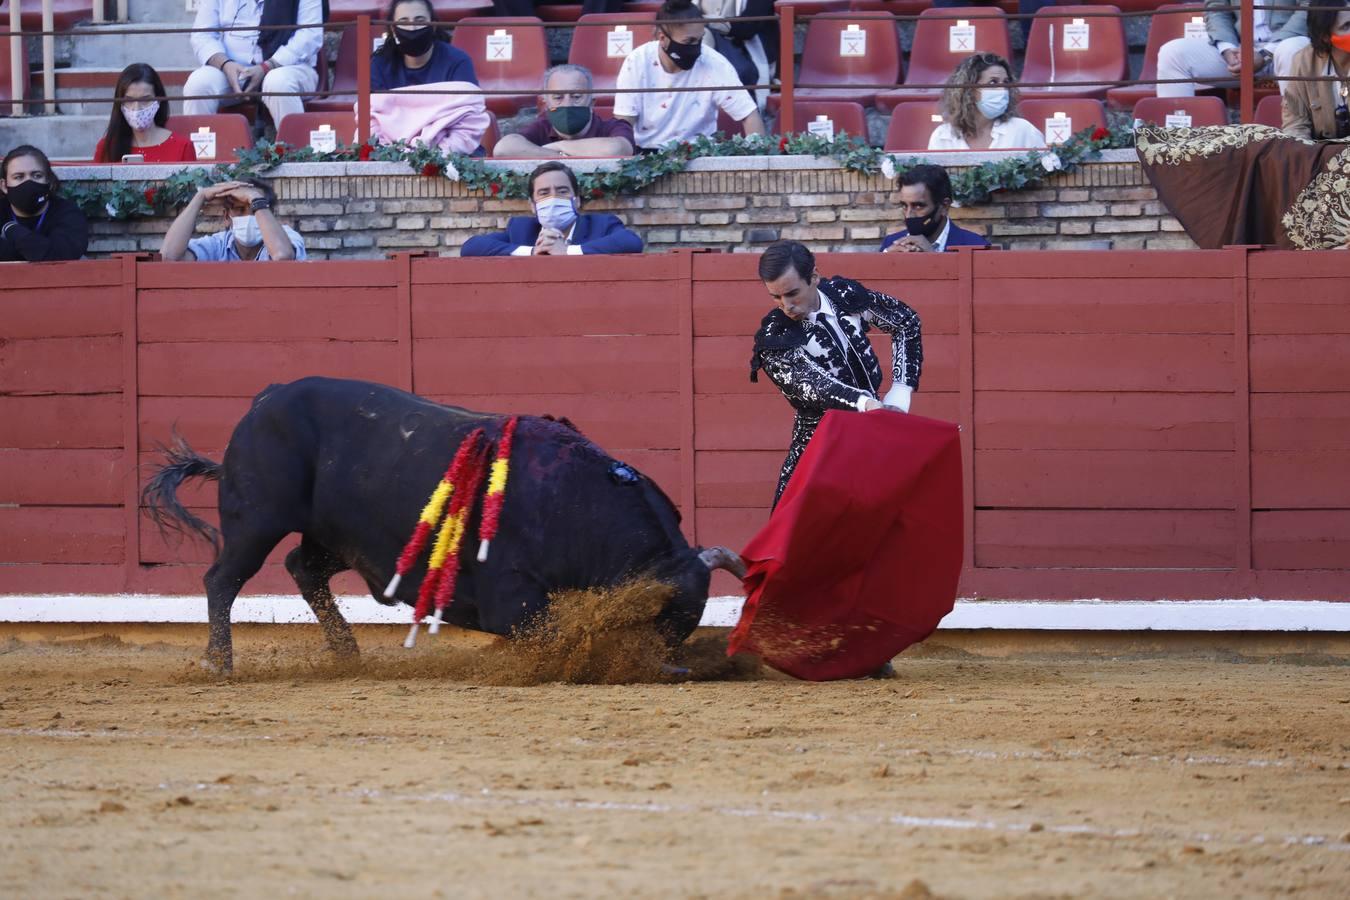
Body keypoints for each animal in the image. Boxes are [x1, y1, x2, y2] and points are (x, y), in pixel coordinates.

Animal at [145, 377, 750, 671]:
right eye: (667, 615)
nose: (670, 668)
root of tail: (264, 398)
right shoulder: (513, 599)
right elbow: (547, 627)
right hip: (255, 520)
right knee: (223, 579)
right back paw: (220, 662)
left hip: (339, 534)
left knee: (303, 566)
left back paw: (346, 653)